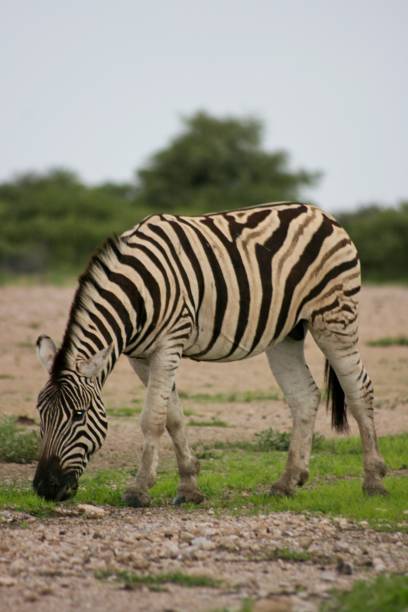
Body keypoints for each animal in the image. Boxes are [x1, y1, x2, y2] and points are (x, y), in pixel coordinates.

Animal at [33, 201, 388, 502]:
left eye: (79, 415)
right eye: (40, 414)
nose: (45, 488)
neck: (137, 293)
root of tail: (322, 213)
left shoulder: (169, 342)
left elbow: (153, 417)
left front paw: (139, 489)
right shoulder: (140, 355)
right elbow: (173, 416)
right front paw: (189, 487)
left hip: (335, 317)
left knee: (360, 390)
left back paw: (373, 481)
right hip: (288, 332)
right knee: (305, 396)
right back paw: (287, 482)